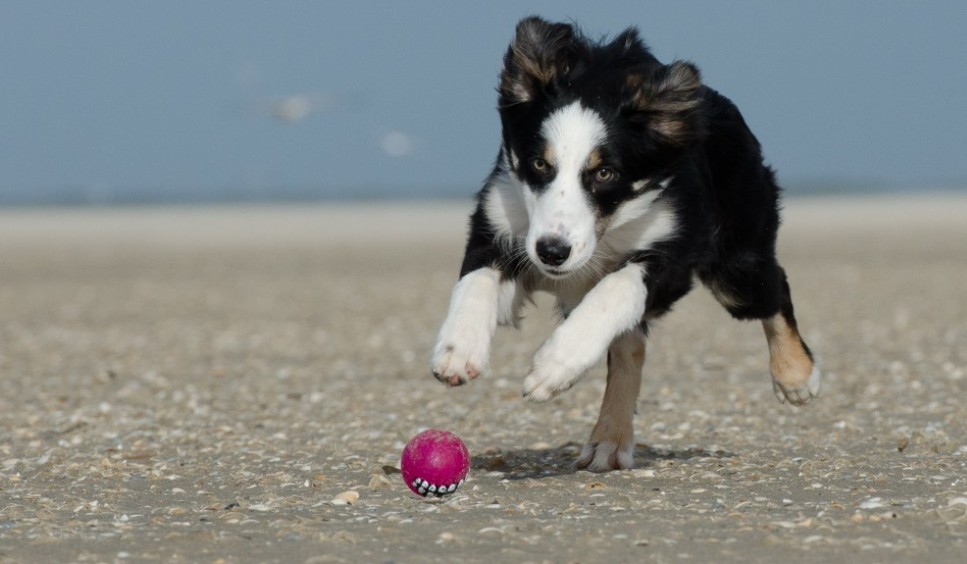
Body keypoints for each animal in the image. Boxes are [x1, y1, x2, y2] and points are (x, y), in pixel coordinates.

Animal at [430, 16, 816, 472]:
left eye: (605, 173)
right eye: (539, 163)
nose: (553, 252)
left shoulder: (675, 253)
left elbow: (616, 288)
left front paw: (553, 366)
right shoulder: (503, 226)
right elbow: (475, 280)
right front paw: (458, 350)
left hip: (736, 266)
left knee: (774, 289)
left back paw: (796, 377)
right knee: (630, 347)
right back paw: (609, 440)